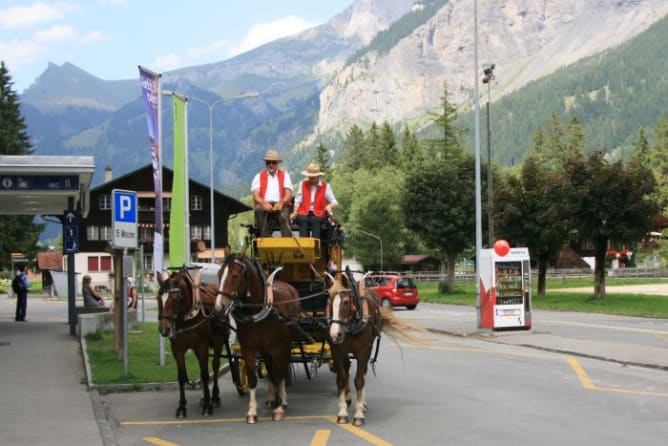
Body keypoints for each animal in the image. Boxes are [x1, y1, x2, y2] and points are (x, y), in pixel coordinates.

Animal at [158, 264, 231, 418]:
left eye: (175, 299)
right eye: (158, 299)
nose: (164, 329)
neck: (186, 315)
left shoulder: (201, 346)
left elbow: (205, 374)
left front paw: (208, 406)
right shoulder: (177, 349)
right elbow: (181, 376)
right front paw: (181, 407)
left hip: (218, 341)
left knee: (215, 366)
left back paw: (214, 397)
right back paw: (205, 397)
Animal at [215, 253, 302, 424]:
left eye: (235, 276)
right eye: (219, 274)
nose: (219, 307)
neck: (257, 311)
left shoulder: (277, 348)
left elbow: (279, 374)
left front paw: (279, 409)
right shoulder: (249, 348)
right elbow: (253, 378)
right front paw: (252, 412)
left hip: (285, 345)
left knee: (281, 370)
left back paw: (282, 400)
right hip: (266, 350)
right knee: (270, 370)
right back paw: (271, 398)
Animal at [324, 270, 428, 426]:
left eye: (346, 302)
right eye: (329, 301)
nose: (335, 334)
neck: (352, 324)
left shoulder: (363, 351)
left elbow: (359, 380)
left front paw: (359, 414)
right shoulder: (336, 351)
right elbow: (341, 379)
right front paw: (342, 412)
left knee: (363, 373)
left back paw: (362, 403)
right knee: (347, 369)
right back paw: (348, 398)